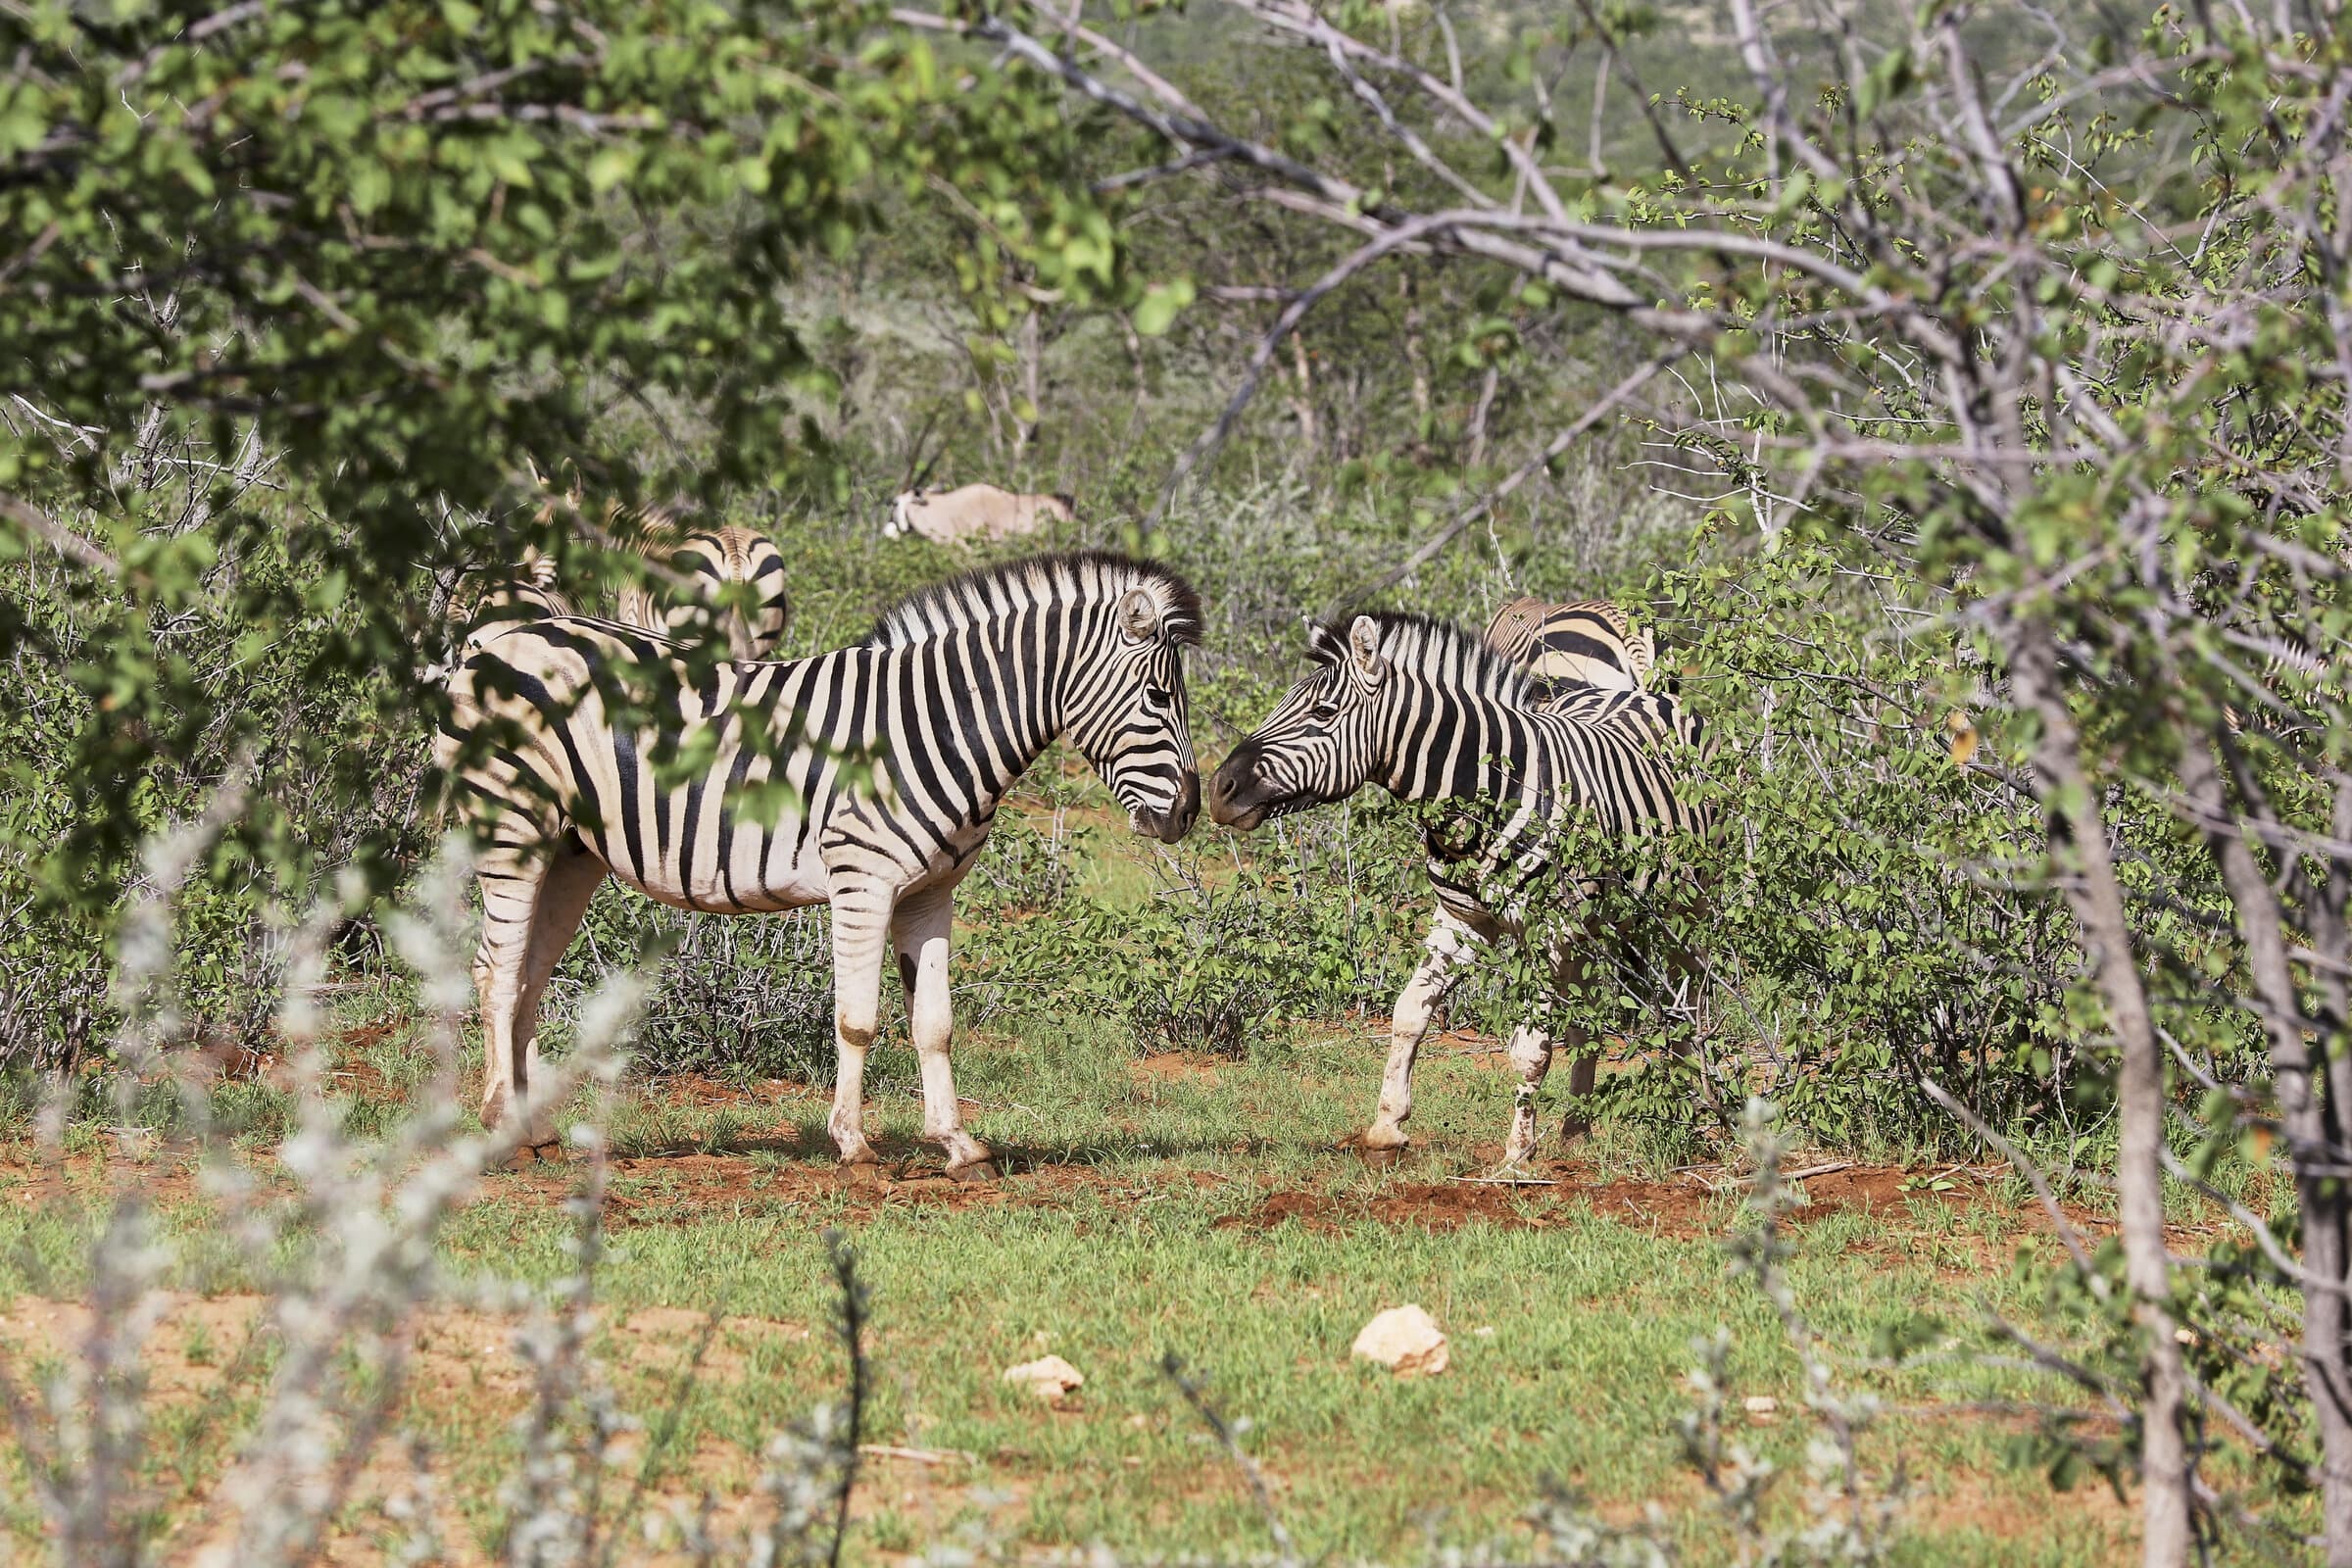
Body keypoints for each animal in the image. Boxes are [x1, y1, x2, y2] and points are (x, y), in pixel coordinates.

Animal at [436, 551, 1203, 1177]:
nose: (1190, 814)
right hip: (512, 826)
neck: (935, 726)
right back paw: (500, 1129)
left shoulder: (932, 892)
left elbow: (935, 1024)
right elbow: (858, 1019)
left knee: (528, 977)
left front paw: (958, 1146)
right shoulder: (863, 878)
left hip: (570, 850)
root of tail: (497, 640)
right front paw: (855, 1144)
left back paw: (534, 1134)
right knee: (496, 973)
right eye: (1158, 698)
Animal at [1207, 612, 1710, 1166]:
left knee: (1691, 998)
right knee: (1587, 1018)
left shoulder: (1548, 931)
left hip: (1689, 907)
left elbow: (1530, 1049)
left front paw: (1516, 1155)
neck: (1484, 794)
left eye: (1324, 711)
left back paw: (1701, 1107)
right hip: (1591, 925)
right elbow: (1408, 1014)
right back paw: (1576, 1129)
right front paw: (1386, 1127)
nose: (1218, 790)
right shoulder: (1462, 921)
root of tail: (1640, 692)